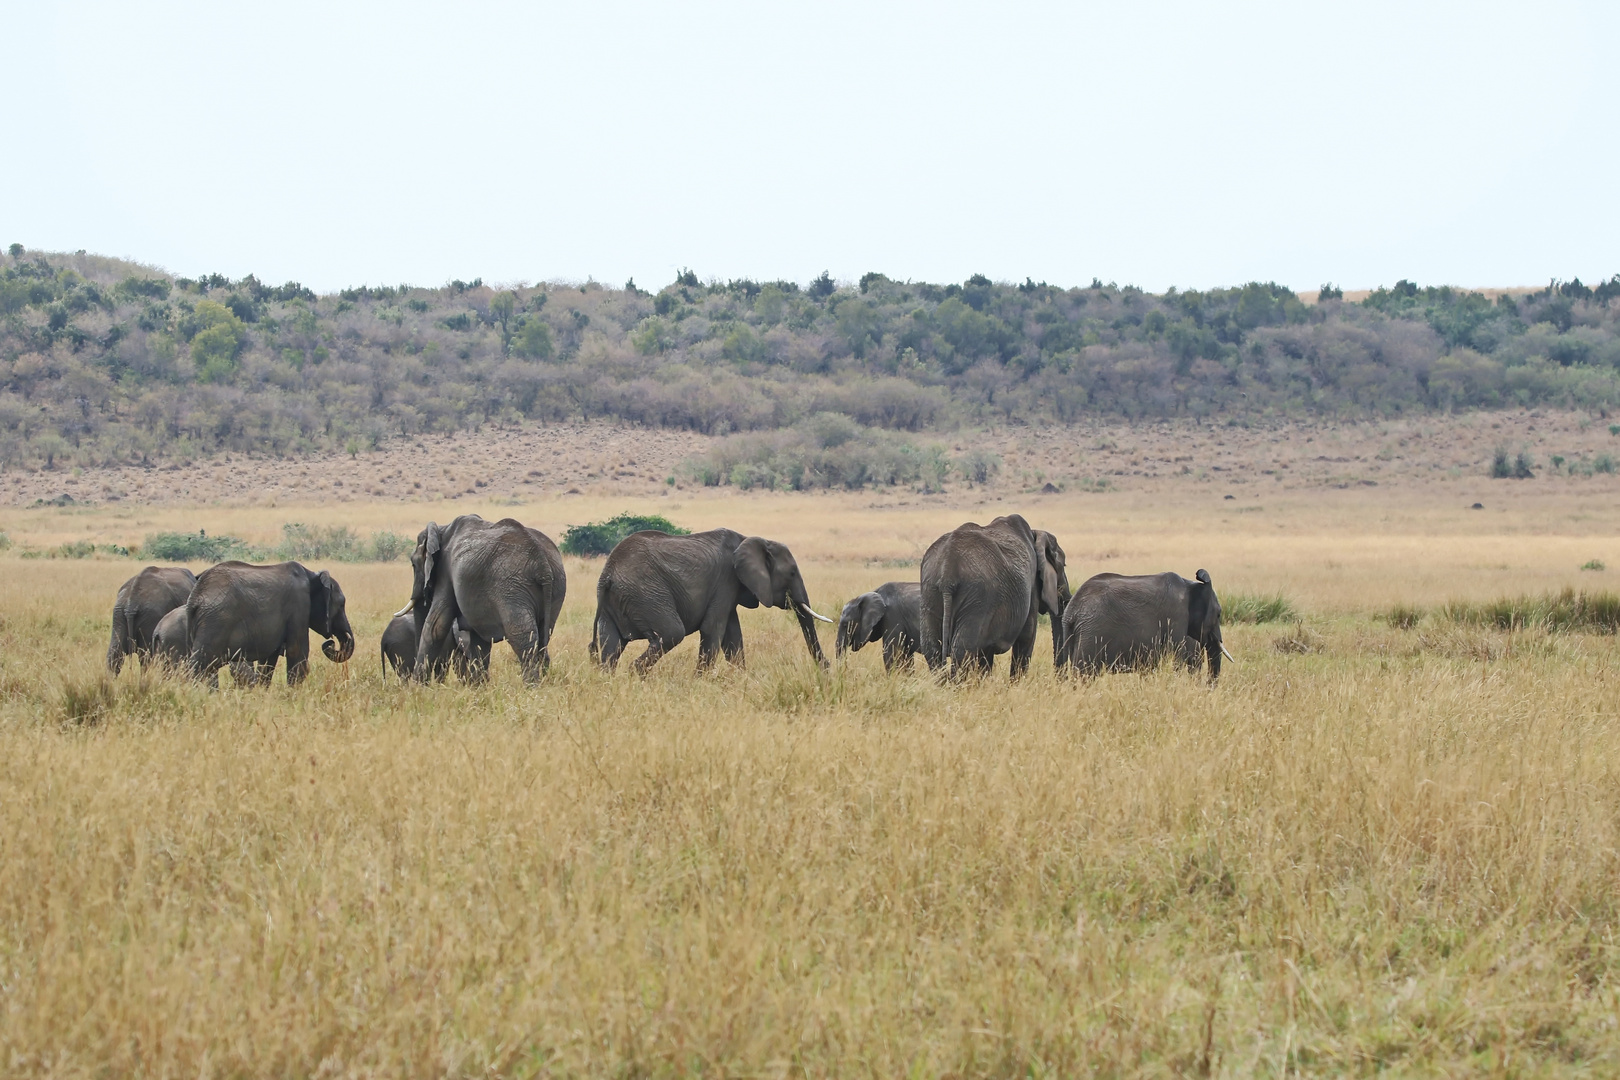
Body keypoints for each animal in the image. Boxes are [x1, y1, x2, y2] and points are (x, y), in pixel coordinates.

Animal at [186, 563, 358, 689]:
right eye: (341, 604)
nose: (330, 643)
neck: (311, 575)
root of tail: (194, 598)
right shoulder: (299, 606)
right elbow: (297, 651)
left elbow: (269, 659)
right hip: (215, 622)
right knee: (200, 664)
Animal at [408, 514, 567, 683]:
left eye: (413, 564)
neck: (441, 529)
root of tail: (542, 564)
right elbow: (477, 643)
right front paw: (480, 687)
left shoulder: (445, 572)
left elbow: (436, 625)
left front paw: (416, 687)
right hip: (556, 587)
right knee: (543, 636)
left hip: (511, 588)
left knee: (523, 638)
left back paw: (532, 687)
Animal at [589, 524, 829, 670]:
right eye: (792, 573)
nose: (826, 666)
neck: (750, 539)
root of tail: (608, 575)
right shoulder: (726, 580)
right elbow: (713, 630)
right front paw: (699, 683)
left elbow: (733, 639)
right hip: (646, 594)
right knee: (671, 633)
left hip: (615, 602)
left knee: (611, 648)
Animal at [920, 514, 1069, 676]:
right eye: (1064, 565)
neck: (1035, 534)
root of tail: (947, 572)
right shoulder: (1032, 586)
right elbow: (1027, 636)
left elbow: (986, 654)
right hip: (977, 599)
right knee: (962, 649)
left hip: (930, 591)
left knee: (932, 649)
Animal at [1062, 569, 1224, 680]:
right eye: (1218, 614)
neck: (1191, 585)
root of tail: (1072, 611)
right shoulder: (1176, 615)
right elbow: (1176, 656)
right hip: (1091, 633)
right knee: (1085, 673)